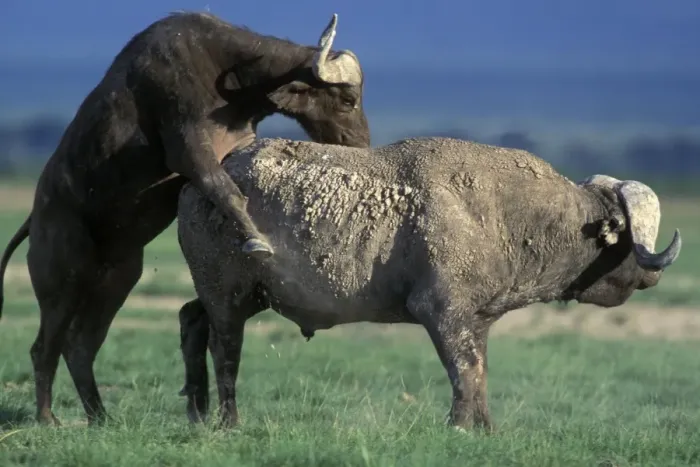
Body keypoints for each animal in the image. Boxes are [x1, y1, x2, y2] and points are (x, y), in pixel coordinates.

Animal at [0, 11, 370, 426]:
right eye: (348, 99)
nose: (362, 145)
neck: (229, 76)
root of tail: (34, 218)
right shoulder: (190, 151)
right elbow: (226, 190)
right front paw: (256, 240)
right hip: (61, 279)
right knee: (43, 347)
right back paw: (48, 417)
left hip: (117, 279)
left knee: (80, 346)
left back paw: (101, 416)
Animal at [176, 137, 681, 430]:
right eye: (630, 236)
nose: (651, 272)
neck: (510, 215)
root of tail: (204, 180)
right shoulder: (441, 313)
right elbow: (464, 373)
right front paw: (458, 426)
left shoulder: (478, 321)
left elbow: (478, 372)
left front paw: (483, 429)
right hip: (227, 296)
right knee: (225, 351)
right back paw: (227, 421)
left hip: (238, 296)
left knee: (190, 319)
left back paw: (196, 412)